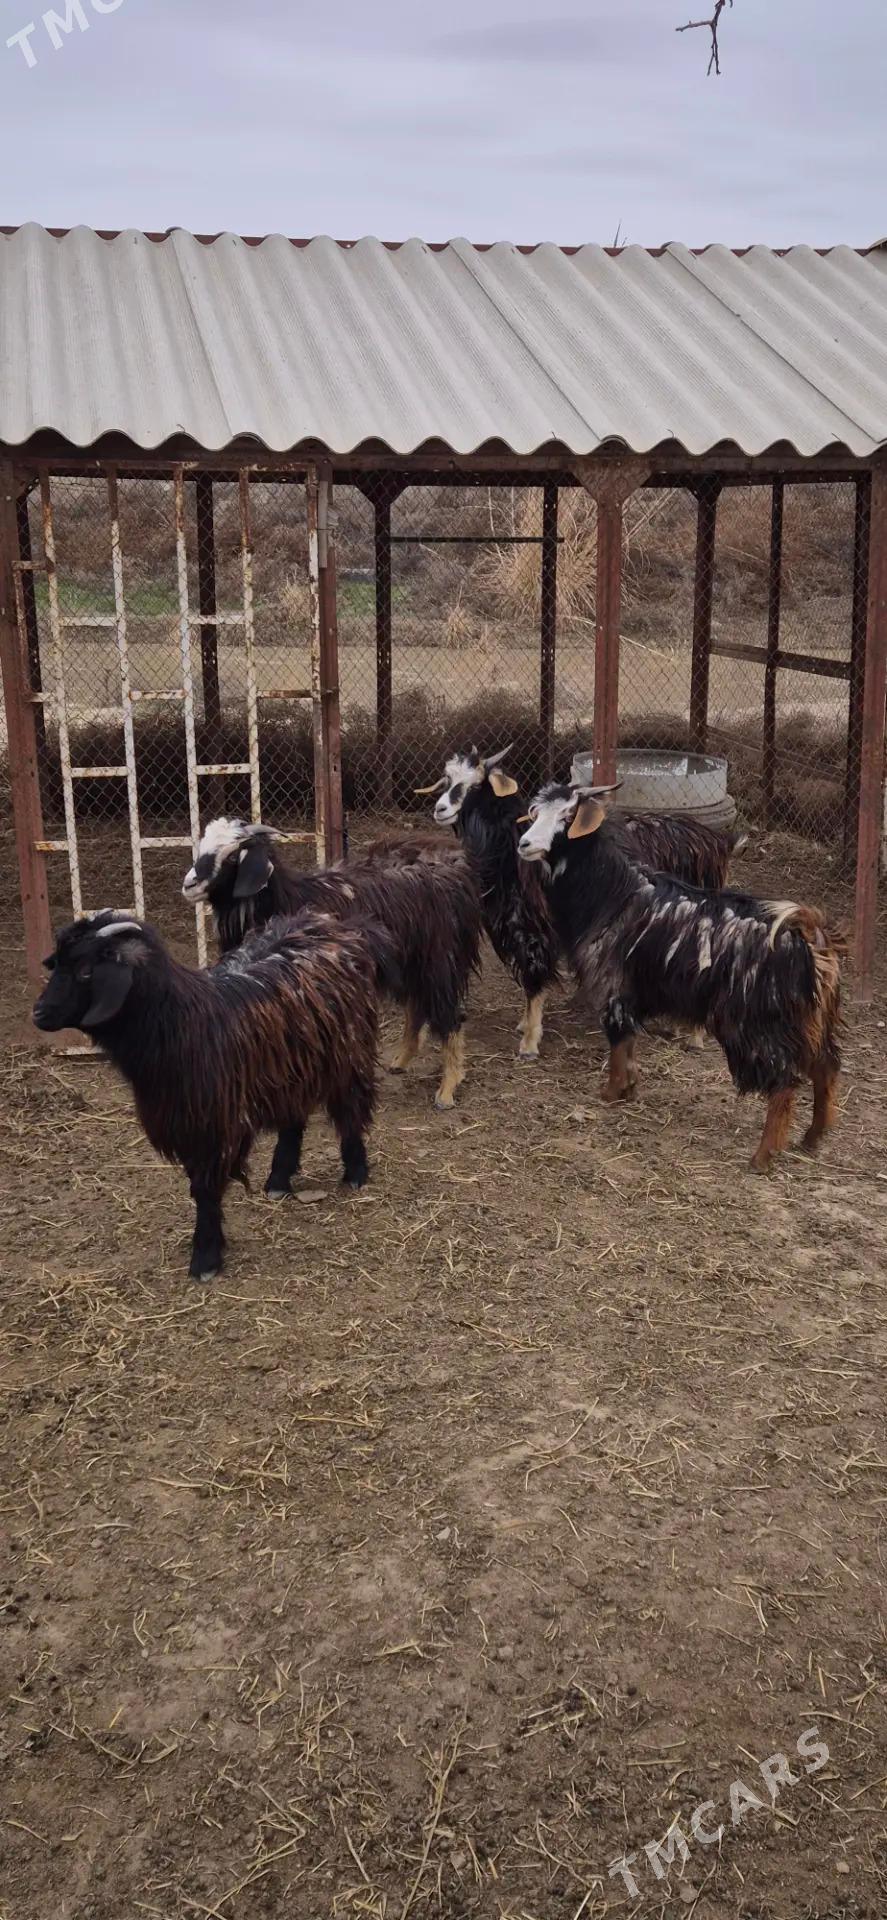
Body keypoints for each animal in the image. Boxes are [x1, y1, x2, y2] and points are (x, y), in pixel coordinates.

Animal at [34, 910, 395, 1282]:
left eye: (85, 970)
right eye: (57, 964)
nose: (39, 1013)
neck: (182, 1025)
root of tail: (339, 927)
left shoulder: (213, 1125)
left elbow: (205, 1190)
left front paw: (205, 1257)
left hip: (348, 1053)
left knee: (351, 1110)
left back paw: (355, 1173)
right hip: (290, 1067)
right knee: (293, 1118)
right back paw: (279, 1179)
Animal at [183, 819, 481, 1110]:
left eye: (233, 856)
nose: (189, 884)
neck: (287, 898)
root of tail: (455, 860)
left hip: (440, 959)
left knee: (450, 1015)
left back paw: (448, 1088)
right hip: (413, 962)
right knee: (416, 1007)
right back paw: (401, 1061)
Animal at [418, 745, 746, 1058]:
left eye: (475, 785)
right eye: (447, 780)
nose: (440, 809)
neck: (508, 844)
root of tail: (714, 841)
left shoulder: (534, 928)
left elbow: (534, 981)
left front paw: (529, 1041)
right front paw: (525, 1024)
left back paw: (695, 1037)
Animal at [517, 785, 842, 1171]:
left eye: (568, 817)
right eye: (535, 813)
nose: (523, 844)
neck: (613, 891)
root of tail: (808, 938)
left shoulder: (613, 983)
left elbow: (617, 1039)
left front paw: (611, 1092)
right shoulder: (632, 991)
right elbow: (628, 1042)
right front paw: (629, 1088)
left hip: (758, 1024)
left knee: (784, 1082)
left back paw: (763, 1156)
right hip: (813, 1022)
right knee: (825, 1069)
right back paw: (813, 1138)